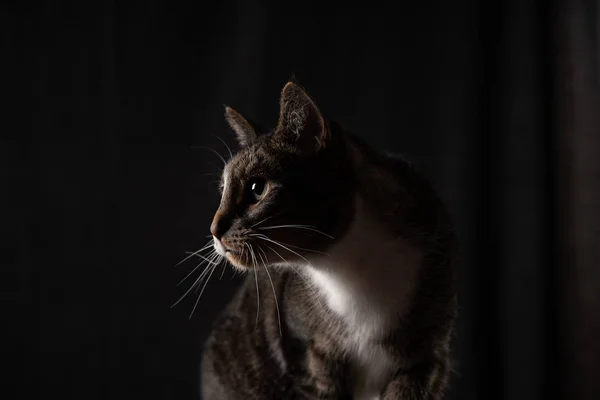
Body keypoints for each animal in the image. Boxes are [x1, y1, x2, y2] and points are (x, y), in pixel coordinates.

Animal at [199, 81, 458, 400]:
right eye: (223, 189)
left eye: (258, 188)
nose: (213, 230)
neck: (351, 264)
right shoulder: (310, 354)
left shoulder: (426, 359)